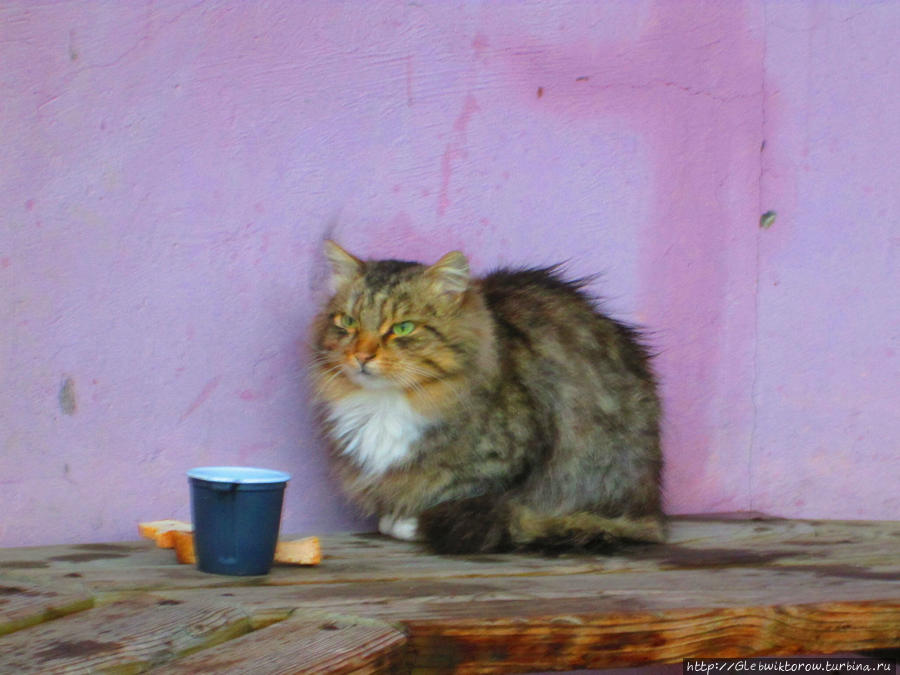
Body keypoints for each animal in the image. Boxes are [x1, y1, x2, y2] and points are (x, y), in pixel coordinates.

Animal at [310, 243, 660, 556]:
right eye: (347, 322)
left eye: (403, 328)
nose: (361, 356)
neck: (386, 402)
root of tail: (651, 508)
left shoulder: (506, 464)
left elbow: (463, 499)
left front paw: (406, 523)